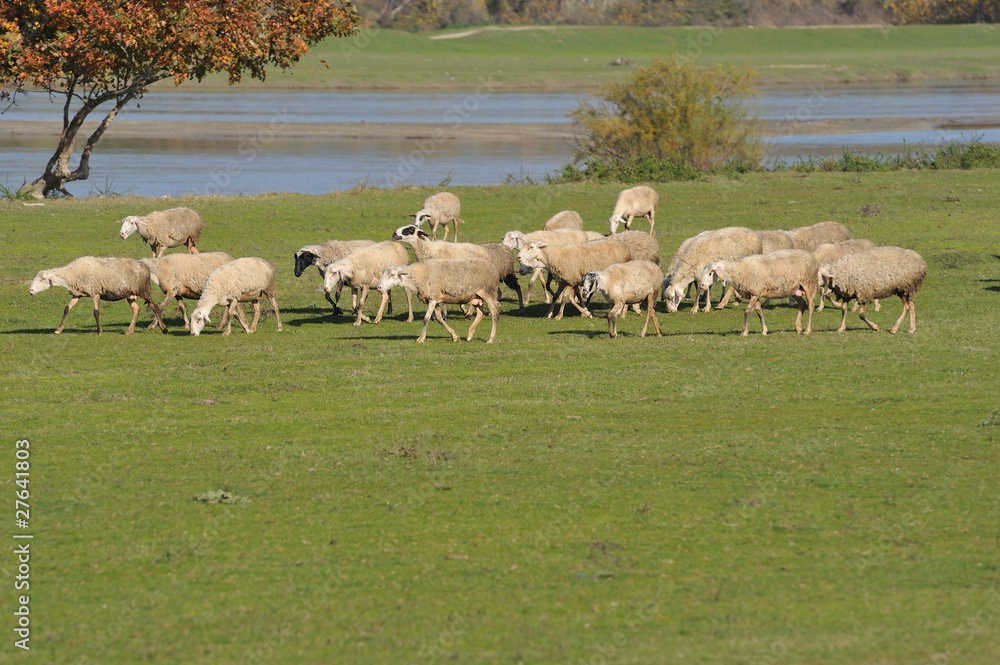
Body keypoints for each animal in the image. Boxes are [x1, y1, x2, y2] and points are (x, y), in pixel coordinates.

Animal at [28, 257, 166, 335]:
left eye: (43, 279)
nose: (30, 291)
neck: (71, 274)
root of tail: (145, 266)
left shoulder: (95, 292)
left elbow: (96, 312)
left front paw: (99, 331)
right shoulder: (78, 294)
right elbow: (67, 308)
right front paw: (58, 329)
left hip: (144, 290)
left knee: (155, 307)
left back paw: (164, 329)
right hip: (130, 294)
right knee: (136, 309)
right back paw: (129, 331)